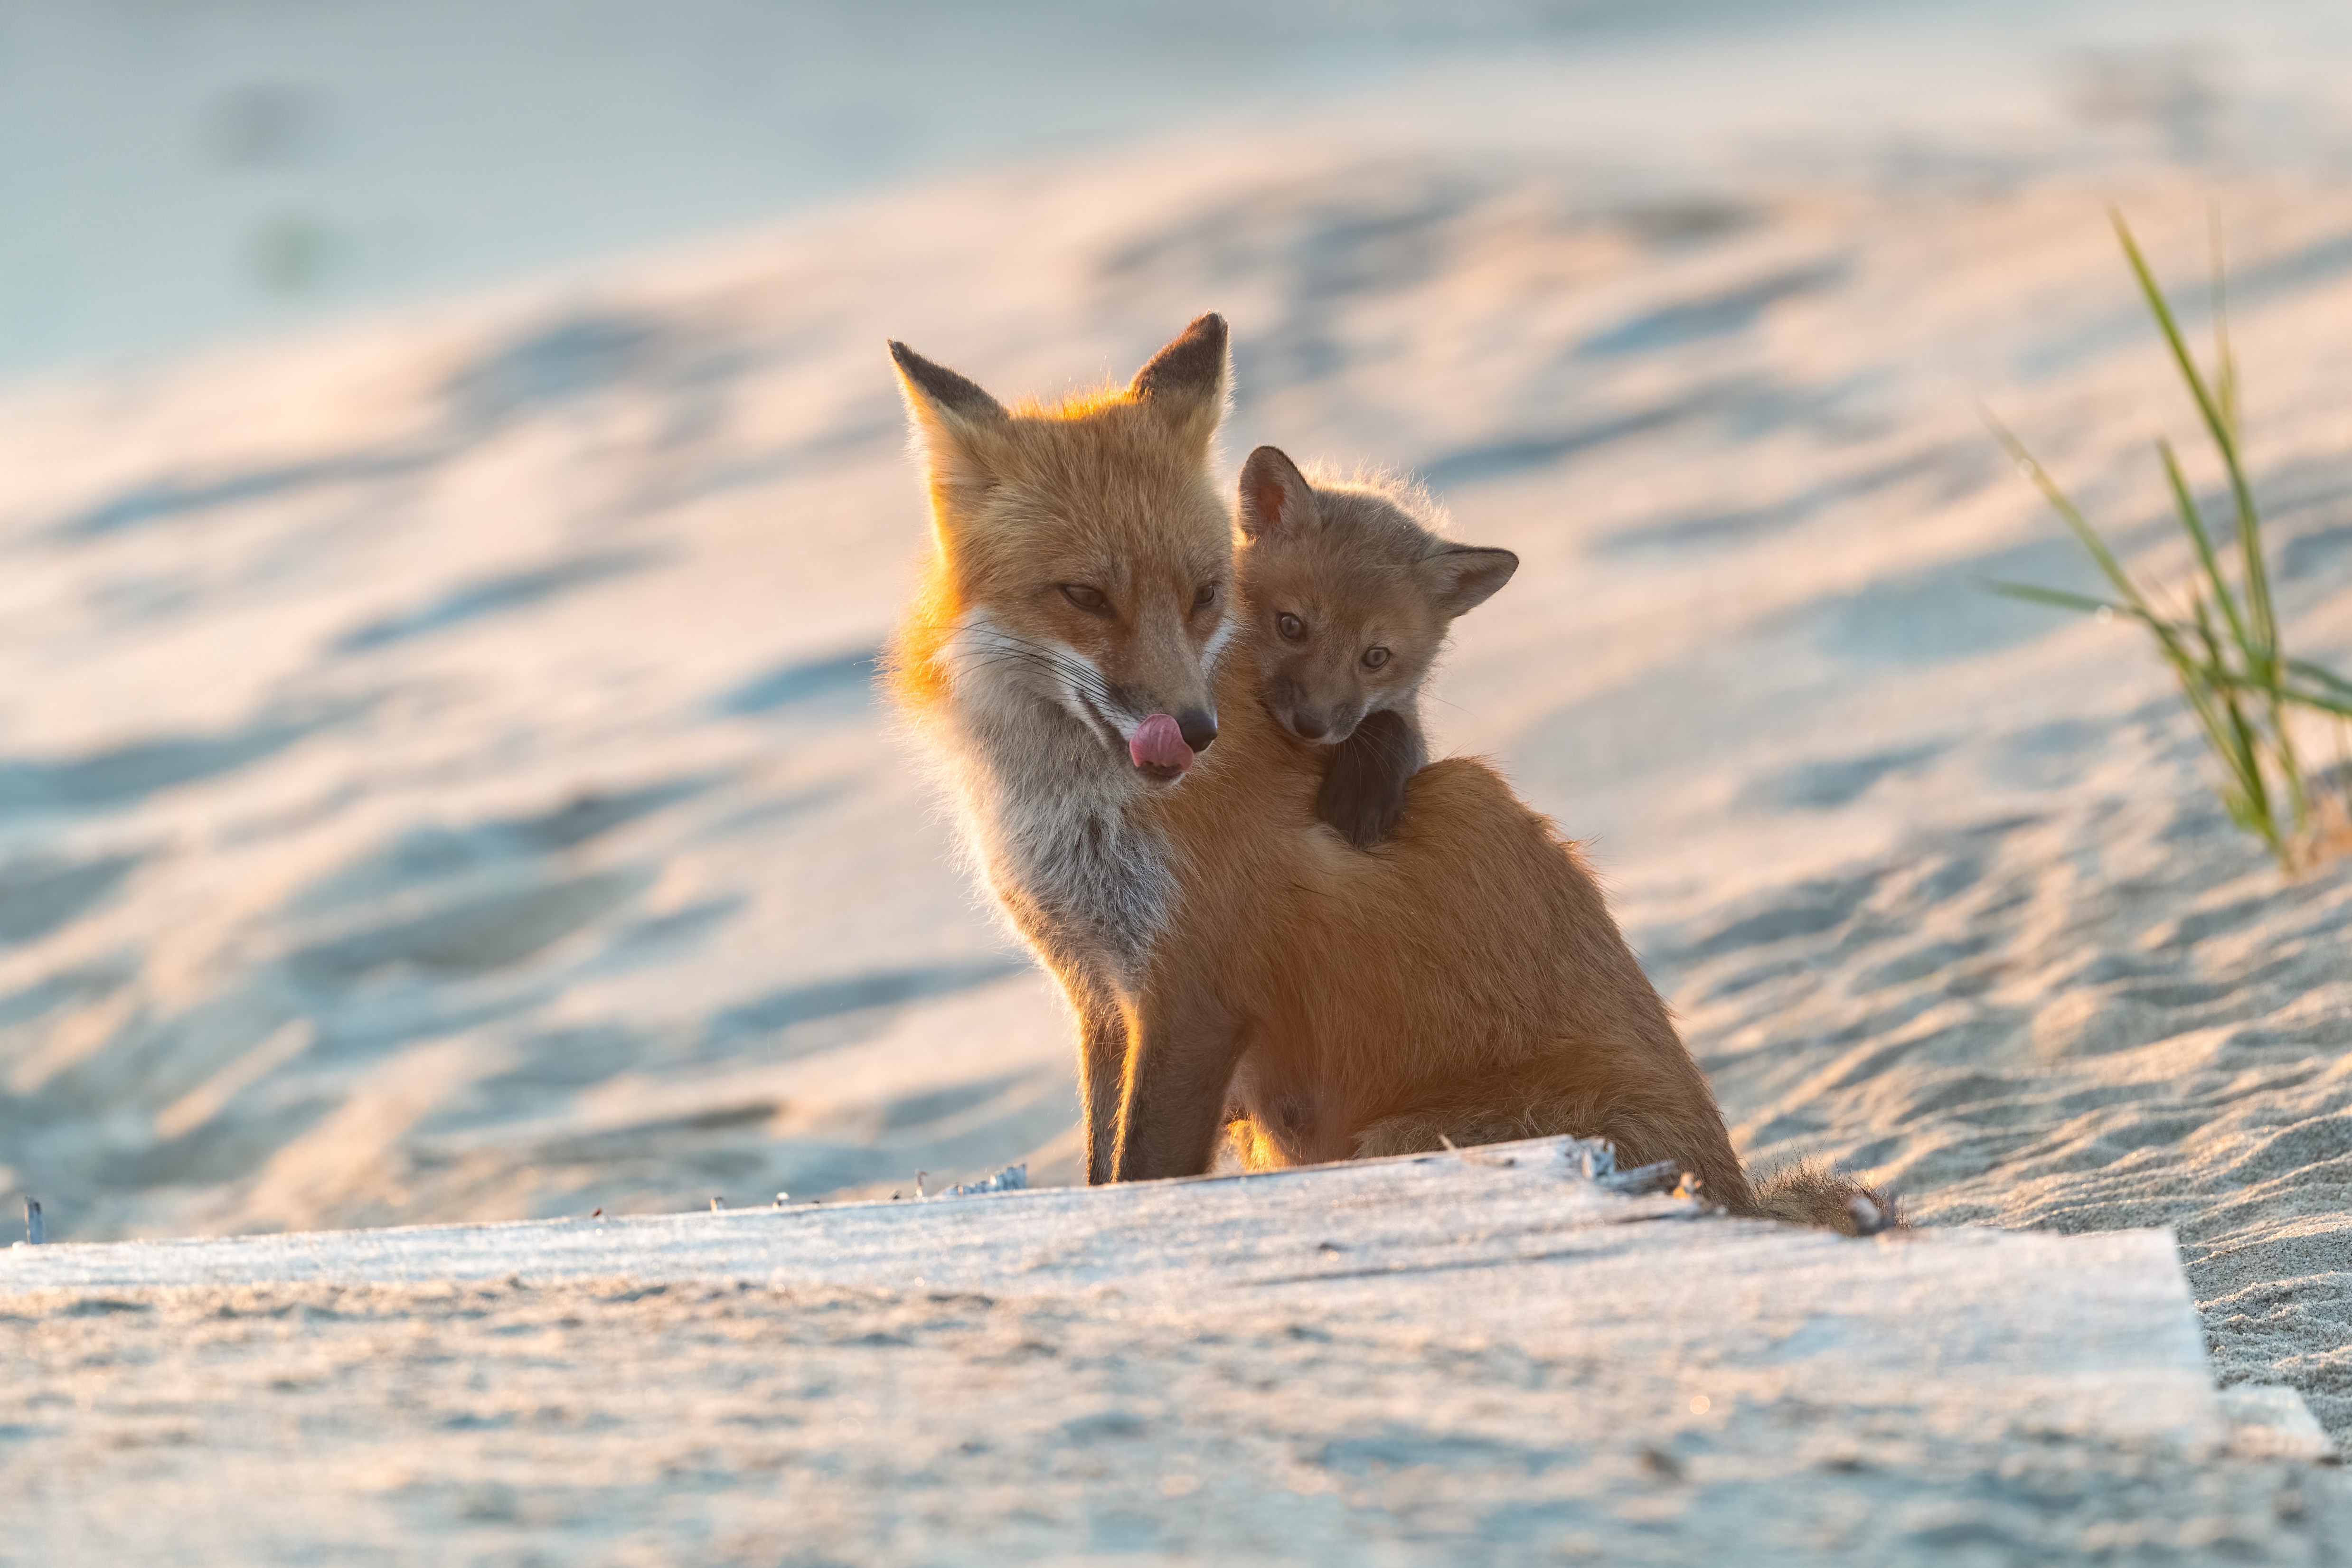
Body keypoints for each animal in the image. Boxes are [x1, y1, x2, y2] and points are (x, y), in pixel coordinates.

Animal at [884, 312, 1891, 1231]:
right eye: (1083, 597)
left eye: (1205, 594)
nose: (1196, 732)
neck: (1067, 808)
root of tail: (1733, 1192)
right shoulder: (1100, 991)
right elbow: (1101, 1166)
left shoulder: (1192, 990)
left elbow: (1139, 1174)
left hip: (1396, 1139)